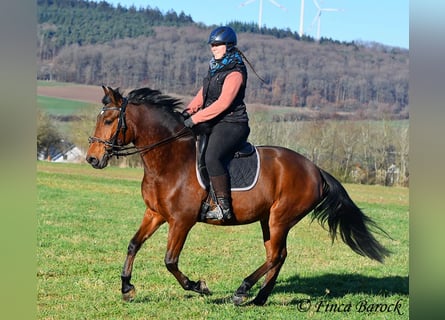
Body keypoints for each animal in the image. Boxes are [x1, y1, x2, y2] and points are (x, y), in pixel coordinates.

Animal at [86, 86, 388, 306]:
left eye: (109, 120)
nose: (92, 159)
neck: (168, 160)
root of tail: (316, 170)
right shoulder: (155, 213)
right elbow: (133, 245)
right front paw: (127, 288)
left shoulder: (182, 221)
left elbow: (170, 261)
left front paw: (199, 286)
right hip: (269, 220)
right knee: (279, 255)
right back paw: (259, 298)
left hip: (280, 218)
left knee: (275, 256)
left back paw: (242, 291)